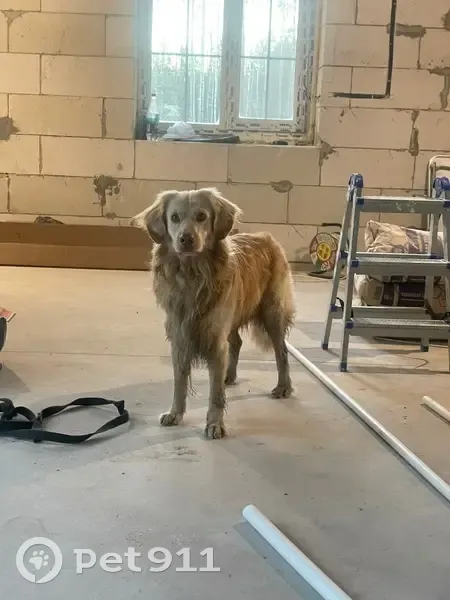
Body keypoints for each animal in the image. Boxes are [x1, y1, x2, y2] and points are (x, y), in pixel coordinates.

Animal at [131, 187, 295, 439]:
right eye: (174, 218)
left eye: (201, 216)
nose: (186, 239)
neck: (192, 274)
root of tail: (267, 237)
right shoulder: (180, 337)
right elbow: (179, 383)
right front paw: (175, 413)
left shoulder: (215, 339)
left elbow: (215, 394)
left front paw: (215, 424)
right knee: (236, 342)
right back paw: (230, 375)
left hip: (272, 314)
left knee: (282, 352)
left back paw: (283, 386)